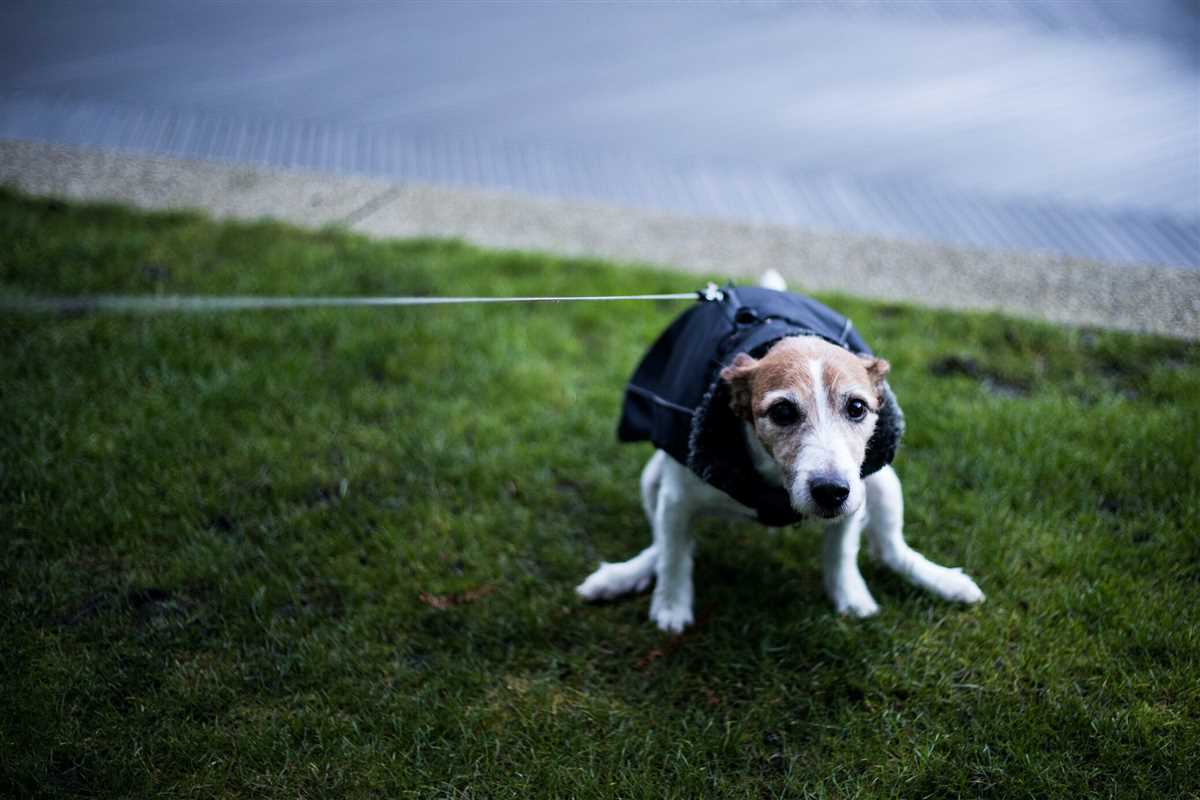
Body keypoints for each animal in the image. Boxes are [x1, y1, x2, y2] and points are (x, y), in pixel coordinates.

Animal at [578, 272, 984, 633]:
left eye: (856, 407)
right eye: (783, 412)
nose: (831, 492)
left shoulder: (857, 494)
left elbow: (841, 552)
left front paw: (850, 596)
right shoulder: (678, 496)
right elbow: (675, 557)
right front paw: (671, 607)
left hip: (883, 480)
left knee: (890, 549)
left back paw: (944, 581)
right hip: (654, 480)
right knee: (662, 544)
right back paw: (623, 575)